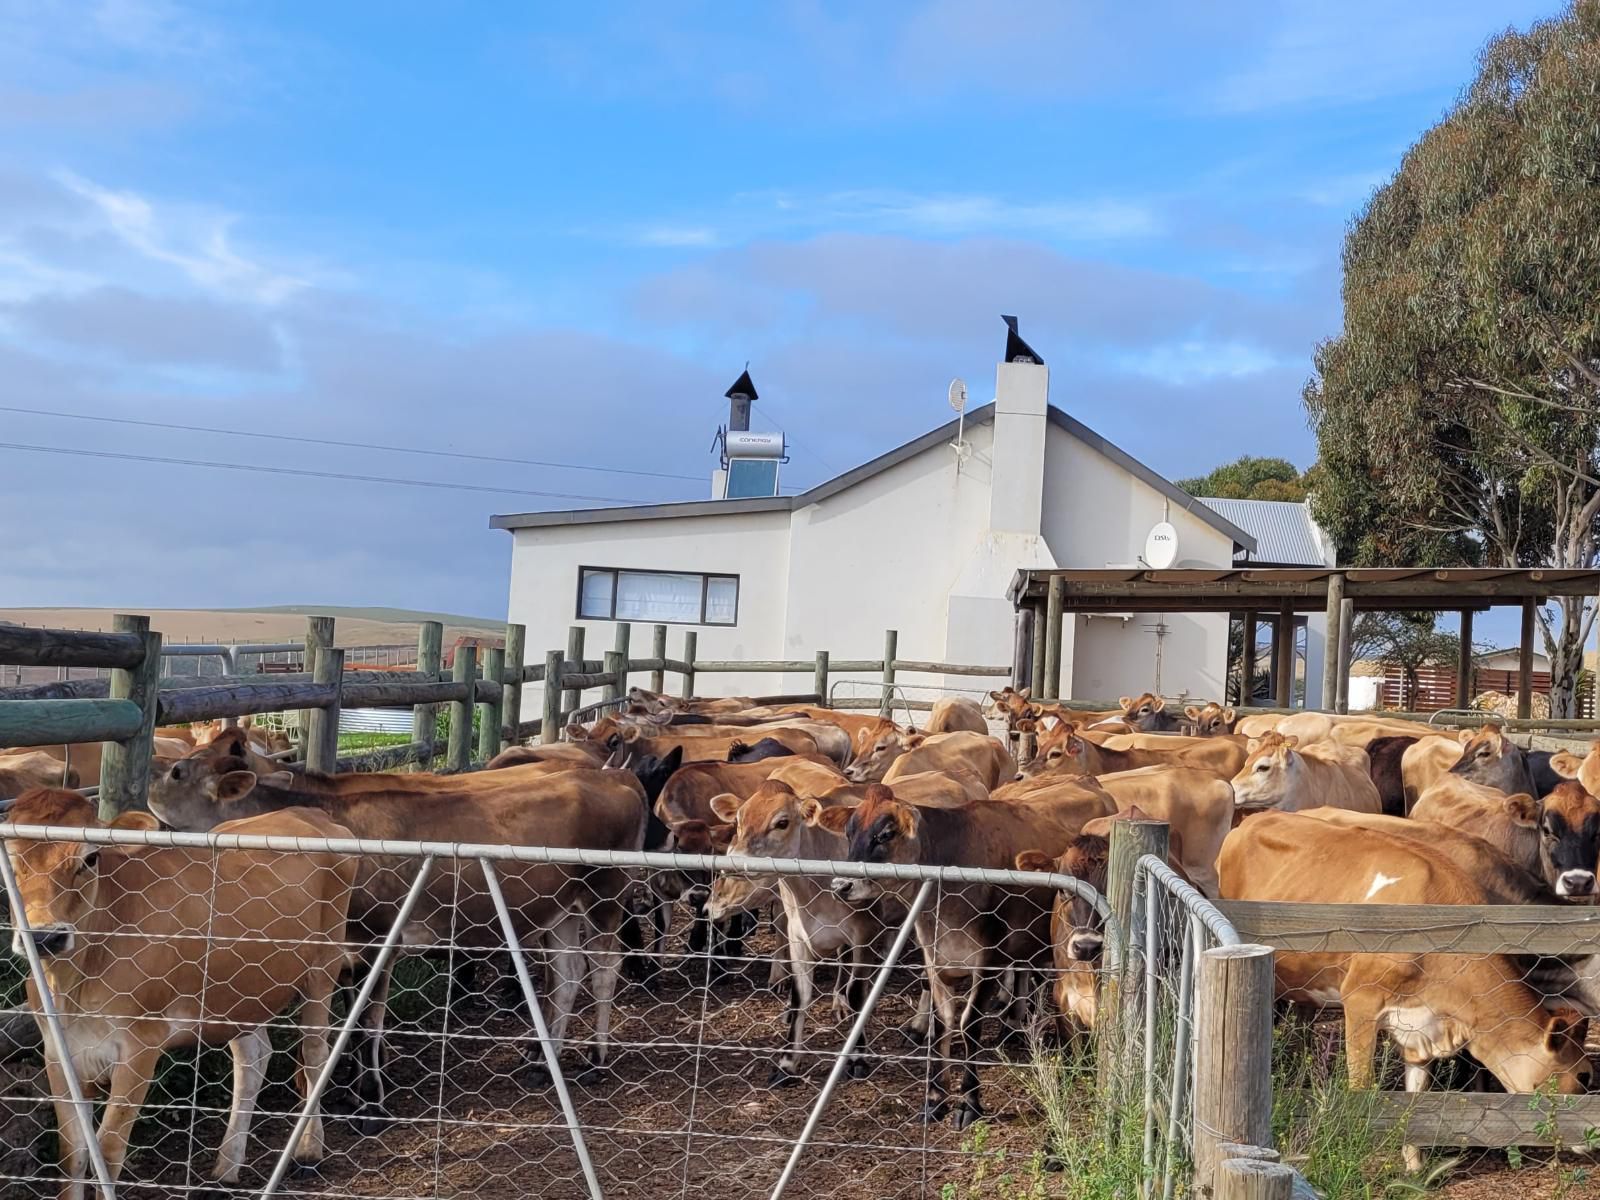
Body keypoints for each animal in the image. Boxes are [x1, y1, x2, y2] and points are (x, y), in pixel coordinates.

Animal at [2, 790, 353, 1196]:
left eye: (90, 858)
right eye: (9, 859)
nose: (45, 937)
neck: (73, 984)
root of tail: (308, 812)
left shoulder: (141, 1046)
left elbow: (107, 1152)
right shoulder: (58, 1050)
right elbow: (71, 1153)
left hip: (324, 964)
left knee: (314, 1053)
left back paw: (309, 1150)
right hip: (240, 993)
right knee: (253, 1058)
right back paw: (228, 1164)